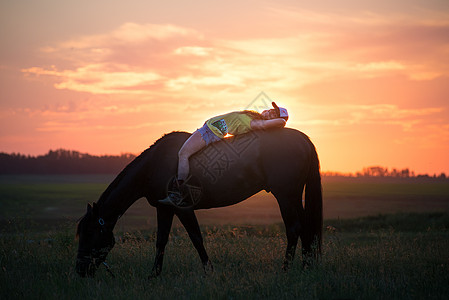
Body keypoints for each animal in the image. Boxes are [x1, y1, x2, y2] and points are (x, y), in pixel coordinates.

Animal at [76, 126, 322, 276]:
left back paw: (286, 269)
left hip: (286, 196)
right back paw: (306, 267)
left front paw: (208, 271)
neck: (155, 165)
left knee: (294, 229)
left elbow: (195, 238)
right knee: (306, 228)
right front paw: (154, 275)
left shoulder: (181, 209)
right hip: (294, 197)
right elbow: (162, 241)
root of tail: (303, 139)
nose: (80, 270)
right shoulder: (164, 209)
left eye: (89, 234)